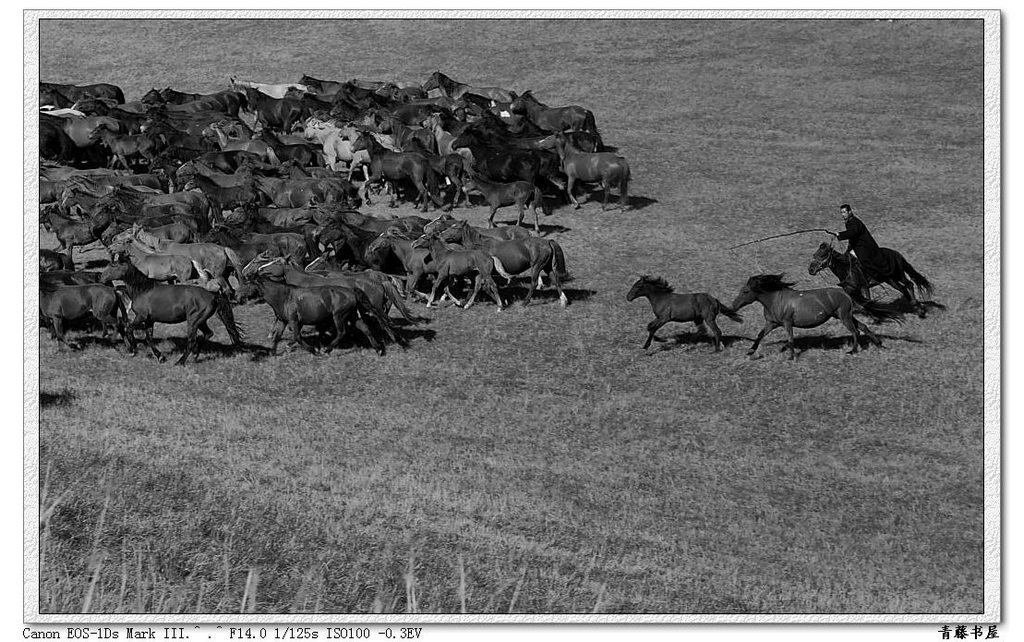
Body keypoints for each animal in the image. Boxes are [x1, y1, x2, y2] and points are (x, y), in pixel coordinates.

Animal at [729, 272, 905, 358]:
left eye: (745, 291)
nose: (733, 306)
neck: (775, 300)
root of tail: (844, 292)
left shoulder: (787, 323)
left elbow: (791, 339)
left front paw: (791, 357)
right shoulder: (771, 323)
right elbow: (760, 335)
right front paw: (750, 351)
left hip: (844, 316)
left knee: (855, 331)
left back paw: (853, 351)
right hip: (844, 315)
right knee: (863, 326)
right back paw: (879, 344)